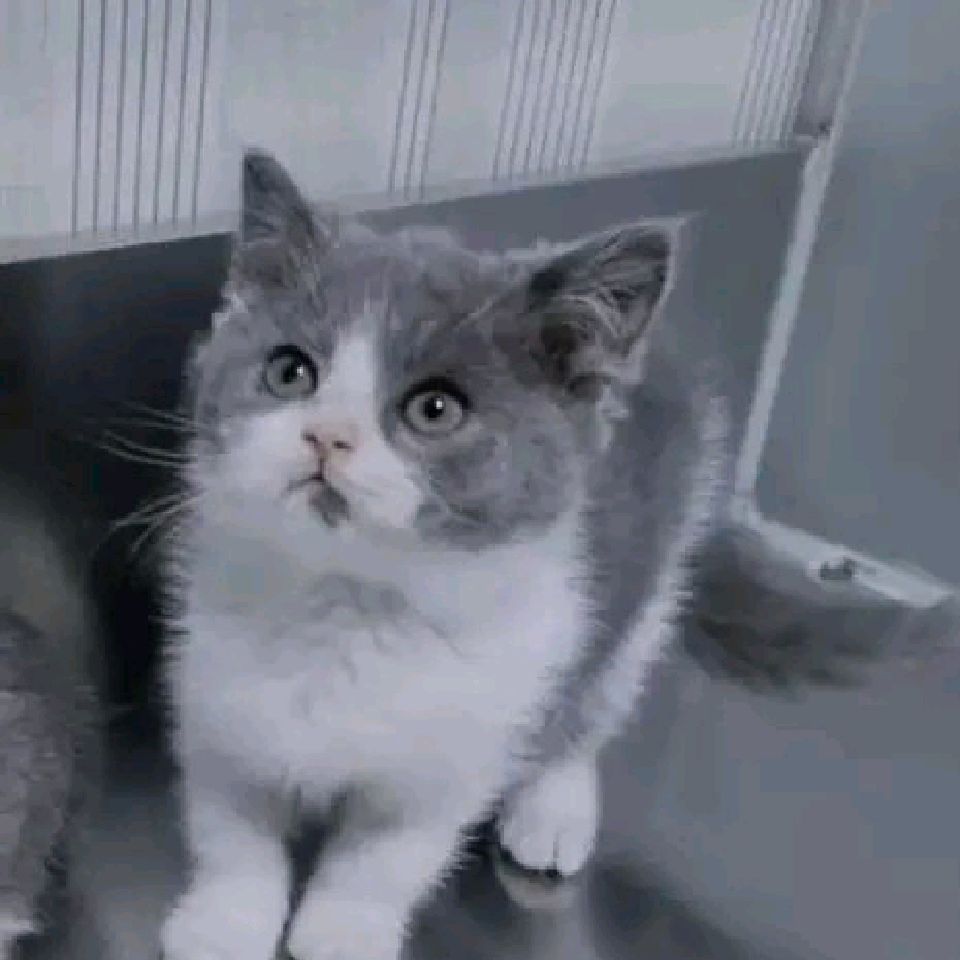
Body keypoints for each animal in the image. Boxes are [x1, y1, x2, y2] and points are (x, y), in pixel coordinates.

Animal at [159, 150, 727, 960]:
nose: (327, 435)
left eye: (435, 409)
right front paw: (224, 921)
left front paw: (343, 931)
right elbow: (232, 827)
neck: (347, 602)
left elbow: (388, 852)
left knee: (598, 696)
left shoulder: (460, 744)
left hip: (657, 567)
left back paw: (554, 807)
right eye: (290, 371)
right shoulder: (213, 698)